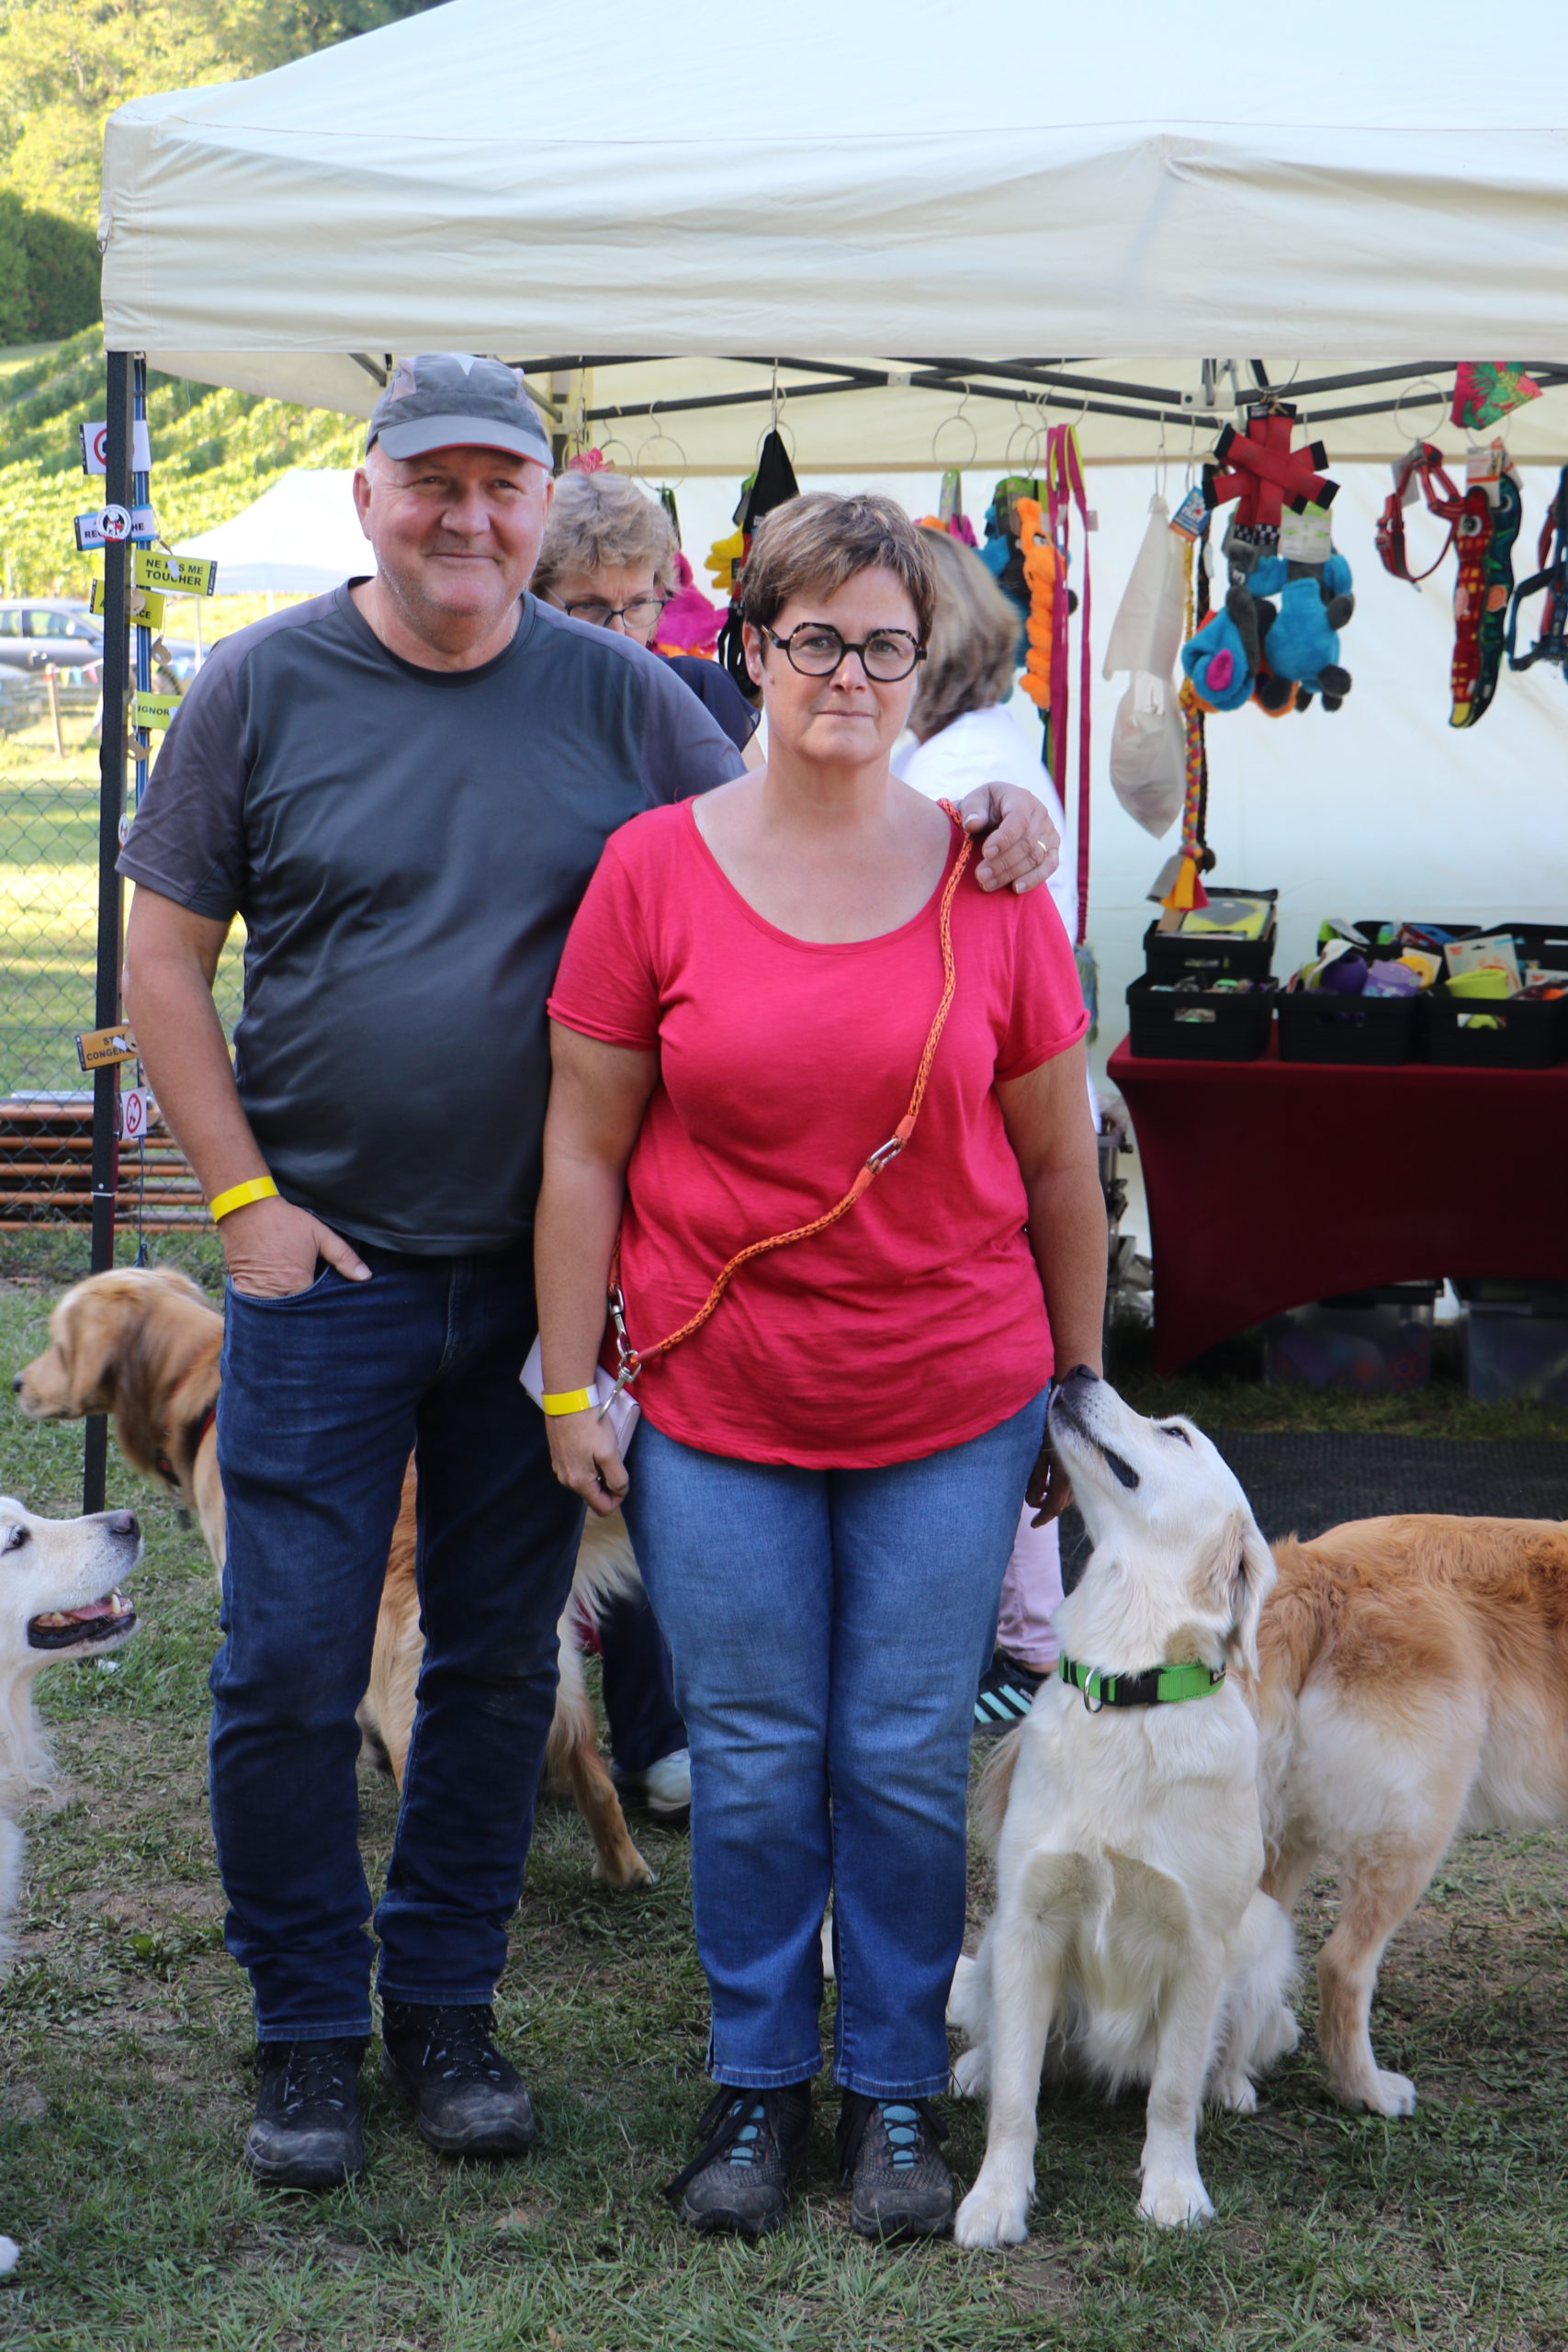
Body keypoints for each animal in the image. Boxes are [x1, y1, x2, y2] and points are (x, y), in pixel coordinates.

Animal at [14, 1266, 653, 1890]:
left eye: (59, 1344)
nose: (16, 1382)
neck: (203, 1385)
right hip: (557, 1685)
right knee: (597, 1783)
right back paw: (623, 1872)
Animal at [951, 1368, 1297, 2242]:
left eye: (1174, 1432)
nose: (1077, 1371)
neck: (1127, 1686)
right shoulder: (1030, 1922)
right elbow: (1016, 2099)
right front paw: (995, 2198)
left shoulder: (1200, 1946)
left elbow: (1172, 2091)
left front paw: (1172, 2191)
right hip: (996, 1938)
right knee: (998, 2046)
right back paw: (972, 2065)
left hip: (1264, 1940)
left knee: (1231, 2047)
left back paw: (1232, 2086)